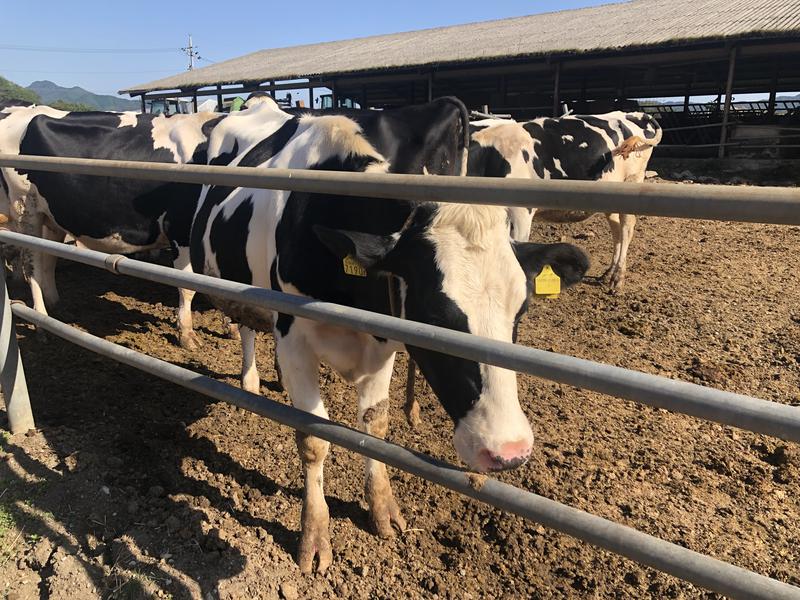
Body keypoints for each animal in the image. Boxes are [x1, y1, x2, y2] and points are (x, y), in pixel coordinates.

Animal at [0, 106, 228, 350]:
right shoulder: (180, 229)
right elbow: (188, 286)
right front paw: (186, 334)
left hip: (51, 217)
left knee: (48, 259)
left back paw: (56, 306)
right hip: (26, 210)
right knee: (31, 266)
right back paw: (42, 323)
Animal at [188, 97, 588, 572]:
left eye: (520, 309)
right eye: (433, 314)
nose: (508, 451)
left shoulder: (380, 340)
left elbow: (375, 426)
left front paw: (383, 510)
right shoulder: (295, 338)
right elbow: (313, 439)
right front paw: (314, 536)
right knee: (247, 327)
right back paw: (249, 380)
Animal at [468, 112, 664, 292]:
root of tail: (633, 114)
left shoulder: (521, 213)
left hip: (632, 180)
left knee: (626, 228)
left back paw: (617, 278)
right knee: (616, 228)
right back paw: (608, 272)